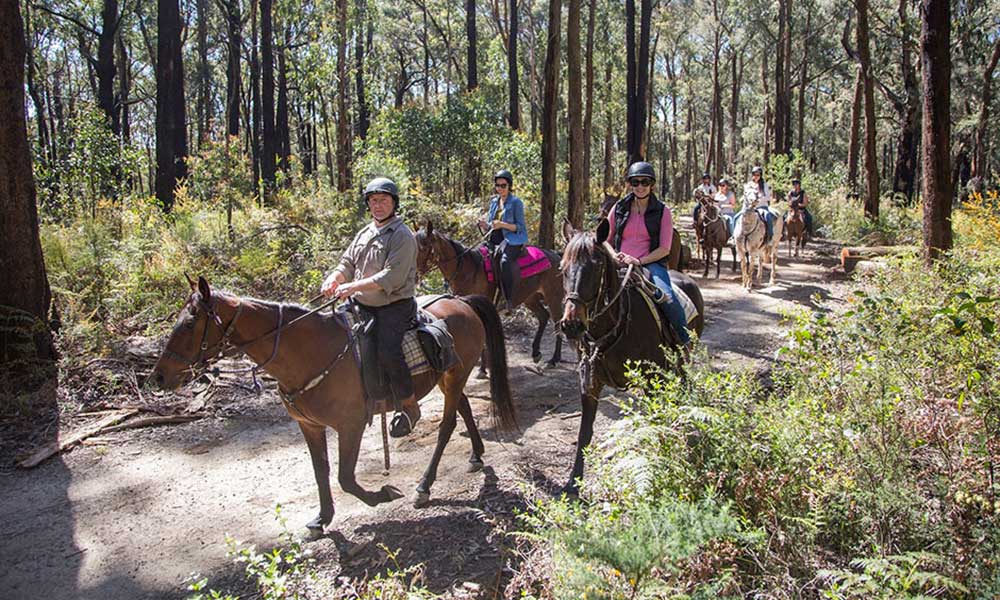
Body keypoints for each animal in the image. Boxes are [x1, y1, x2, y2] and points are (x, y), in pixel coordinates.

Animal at [154, 276, 524, 528]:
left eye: (189, 323)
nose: (158, 376)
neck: (310, 352)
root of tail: (463, 302)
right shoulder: (309, 427)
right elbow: (322, 471)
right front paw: (322, 518)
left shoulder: (351, 426)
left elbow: (346, 477)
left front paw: (382, 495)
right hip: (449, 378)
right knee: (463, 408)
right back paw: (476, 454)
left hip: (454, 377)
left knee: (447, 425)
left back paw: (423, 486)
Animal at [412, 221, 564, 370]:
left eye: (424, 247)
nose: (415, 275)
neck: (467, 270)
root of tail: (556, 256)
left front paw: (483, 368)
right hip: (530, 297)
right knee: (543, 316)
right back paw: (536, 353)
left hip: (553, 296)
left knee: (557, 322)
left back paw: (554, 359)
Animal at [556, 220, 704, 496]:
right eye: (562, 267)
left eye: (596, 266)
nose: (571, 325)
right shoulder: (589, 384)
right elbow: (584, 433)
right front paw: (573, 482)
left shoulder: (652, 378)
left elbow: (654, 421)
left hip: (680, 360)